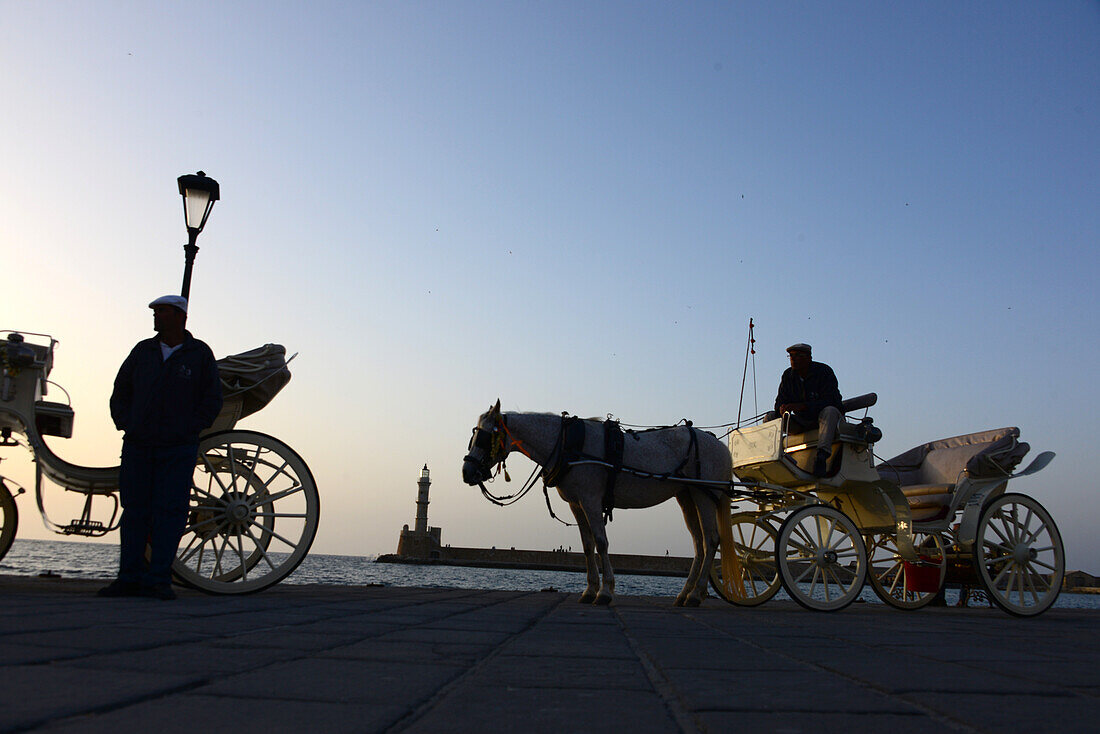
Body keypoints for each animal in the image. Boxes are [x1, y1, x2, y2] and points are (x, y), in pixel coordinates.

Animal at [459, 402, 734, 607]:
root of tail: (720, 445)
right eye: (474, 434)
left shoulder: (591, 500)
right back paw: (685, 593)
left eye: (484, 436)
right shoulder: (576, 503)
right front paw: (590, 590)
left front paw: (605, 591)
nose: (466, 472)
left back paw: (696, 594)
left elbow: (601, 542)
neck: (568, 444)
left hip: (703, 494)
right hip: (686, 496)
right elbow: (587, 545)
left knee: (711, 540)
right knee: (698, 543)